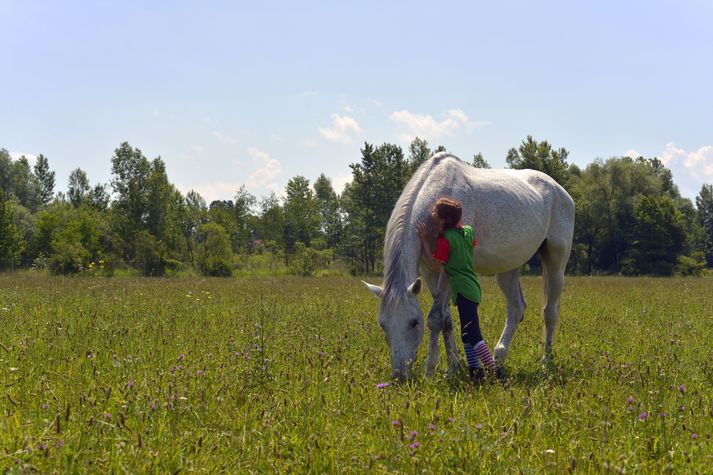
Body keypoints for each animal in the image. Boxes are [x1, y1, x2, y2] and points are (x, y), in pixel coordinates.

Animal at [364, 154, 576, 382]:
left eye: (414, 322)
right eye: (382, 324)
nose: (399, 376)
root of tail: (560, 190)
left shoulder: (447, 271)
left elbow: (435, 319)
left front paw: (430, 370)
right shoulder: (429, 272)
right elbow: (446, 319)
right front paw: (452, 367)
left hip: (556, 263)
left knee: (550, 312)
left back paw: (546, 363)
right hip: (507, 269)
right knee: (516, 308)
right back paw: (499, 358)